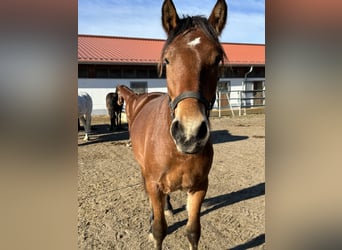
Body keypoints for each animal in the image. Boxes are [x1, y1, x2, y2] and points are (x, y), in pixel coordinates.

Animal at [117, 0, 227, 249]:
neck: (178, 152)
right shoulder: (154, 184)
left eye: (217, 59)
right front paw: (153, 228)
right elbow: (159, 231)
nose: (189, 134)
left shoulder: (199, 187)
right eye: (167, 60)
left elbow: (193, 232)